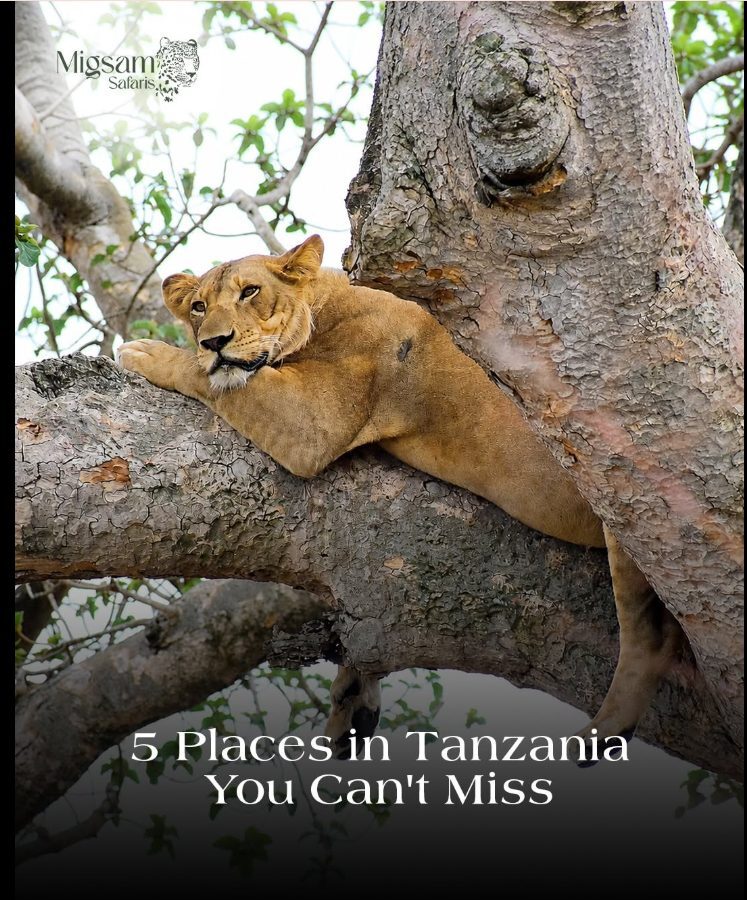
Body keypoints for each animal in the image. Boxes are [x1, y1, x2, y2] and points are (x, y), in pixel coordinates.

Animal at [118, 234, 683, 760]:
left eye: (250, 291)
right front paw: (352, 703)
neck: (323, 305)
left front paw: (146, 351)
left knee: (655, 638)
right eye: (198, 306)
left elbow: (214, 379)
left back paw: (604, 733)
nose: (214, 341)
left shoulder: (314, 420)